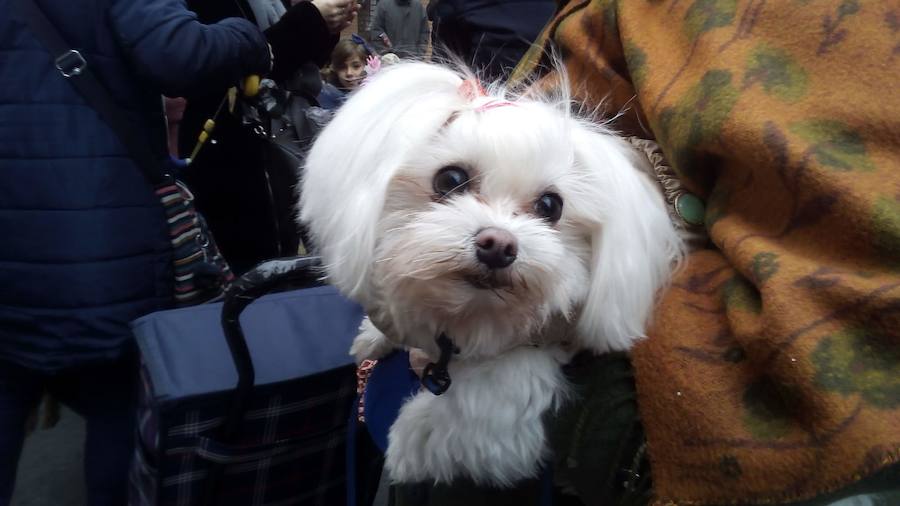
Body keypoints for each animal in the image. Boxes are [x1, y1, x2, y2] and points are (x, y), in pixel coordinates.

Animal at [298, 61, 680, 488]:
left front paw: (409, 438)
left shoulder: (529, 360)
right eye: (450, 179)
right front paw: (376, 335)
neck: (469, 315)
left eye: (551, 205)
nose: (498, 245)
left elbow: (481, 407)